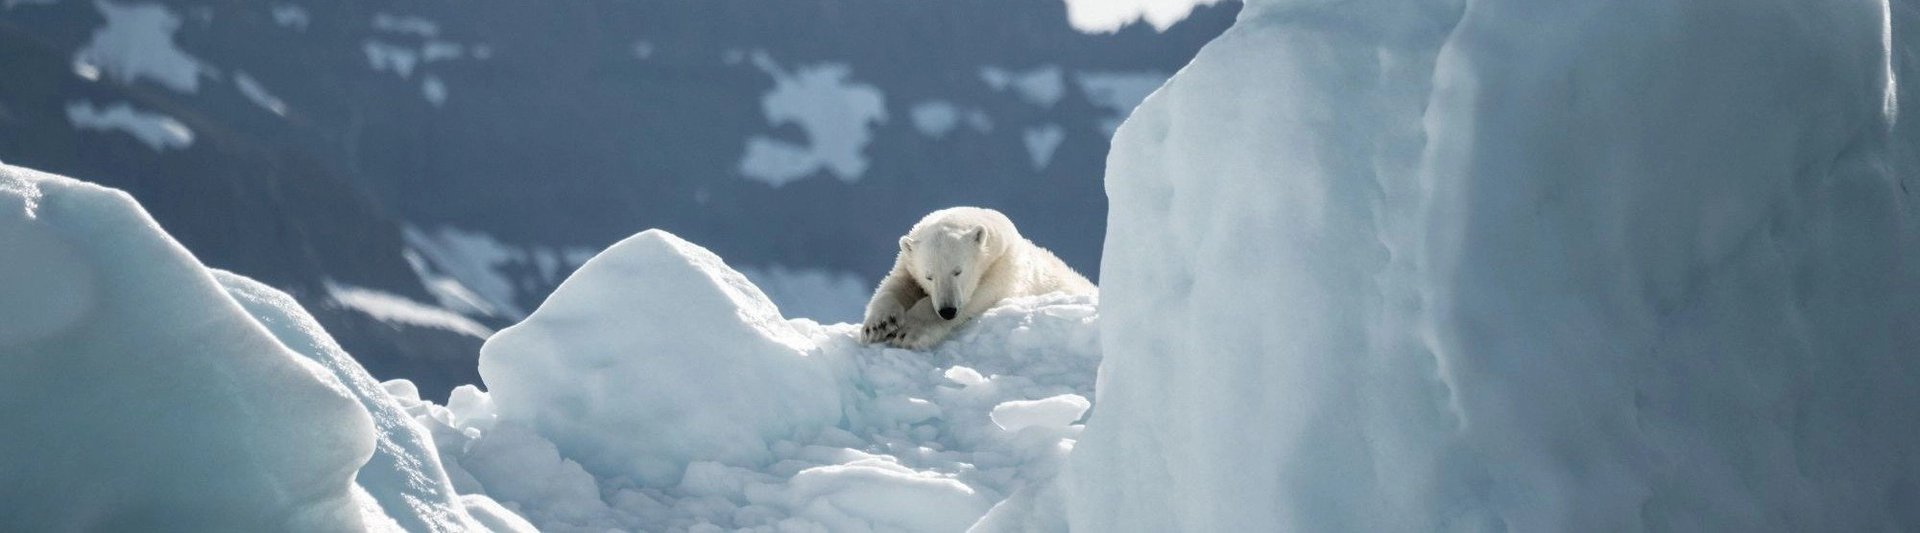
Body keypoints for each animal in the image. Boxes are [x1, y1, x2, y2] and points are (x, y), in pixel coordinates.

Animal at [860, 207, 1090, 348]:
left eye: (958, 271)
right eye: (929, 276)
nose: (948, 311)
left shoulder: (1002, 270)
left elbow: (977, 297)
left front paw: (907, 332)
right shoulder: (908, 263)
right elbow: (896, 284)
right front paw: (879, 325)